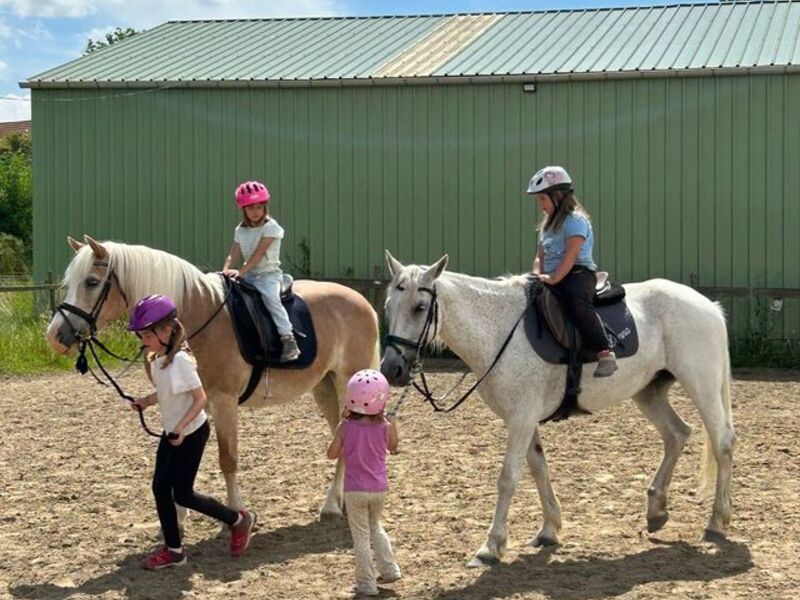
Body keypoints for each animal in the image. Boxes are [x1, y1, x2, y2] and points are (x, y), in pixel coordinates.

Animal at [46, 235, 380, 519]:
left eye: (91, 282)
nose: (55, 337)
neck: (194, 317)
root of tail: (363, 303)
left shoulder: (223, 400)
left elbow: (227, 458)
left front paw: (236, 513)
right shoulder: (190, 403)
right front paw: (178, 516)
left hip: (345, 383)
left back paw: (332, 506)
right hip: (324, 386)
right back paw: (338, 500)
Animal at [380, 251, 735, 567]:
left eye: (420, 307)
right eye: (388, 306)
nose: (391, 370)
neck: (499, 330)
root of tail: (709, 307)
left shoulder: (521, 420)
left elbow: (508, 478)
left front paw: (491, 546)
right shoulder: (523, 419)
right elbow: (539, 468)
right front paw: (549, 529)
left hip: (701, 384)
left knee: (722, 443)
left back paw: (717, 521)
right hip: (649, 392)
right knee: (677, 434)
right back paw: (656, 508)